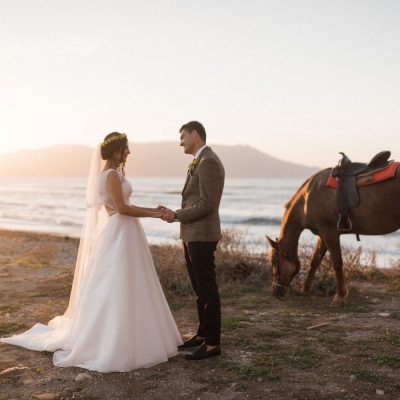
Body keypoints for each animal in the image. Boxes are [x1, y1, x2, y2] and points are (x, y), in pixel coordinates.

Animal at [266, 165, 400, 304]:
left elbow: (337, 262)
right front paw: (305, 289)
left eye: (274, 261)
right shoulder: (323, 234)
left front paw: (340, 296)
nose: (276, 291)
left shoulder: (329, 232)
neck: (307, 198)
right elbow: (315, 261)